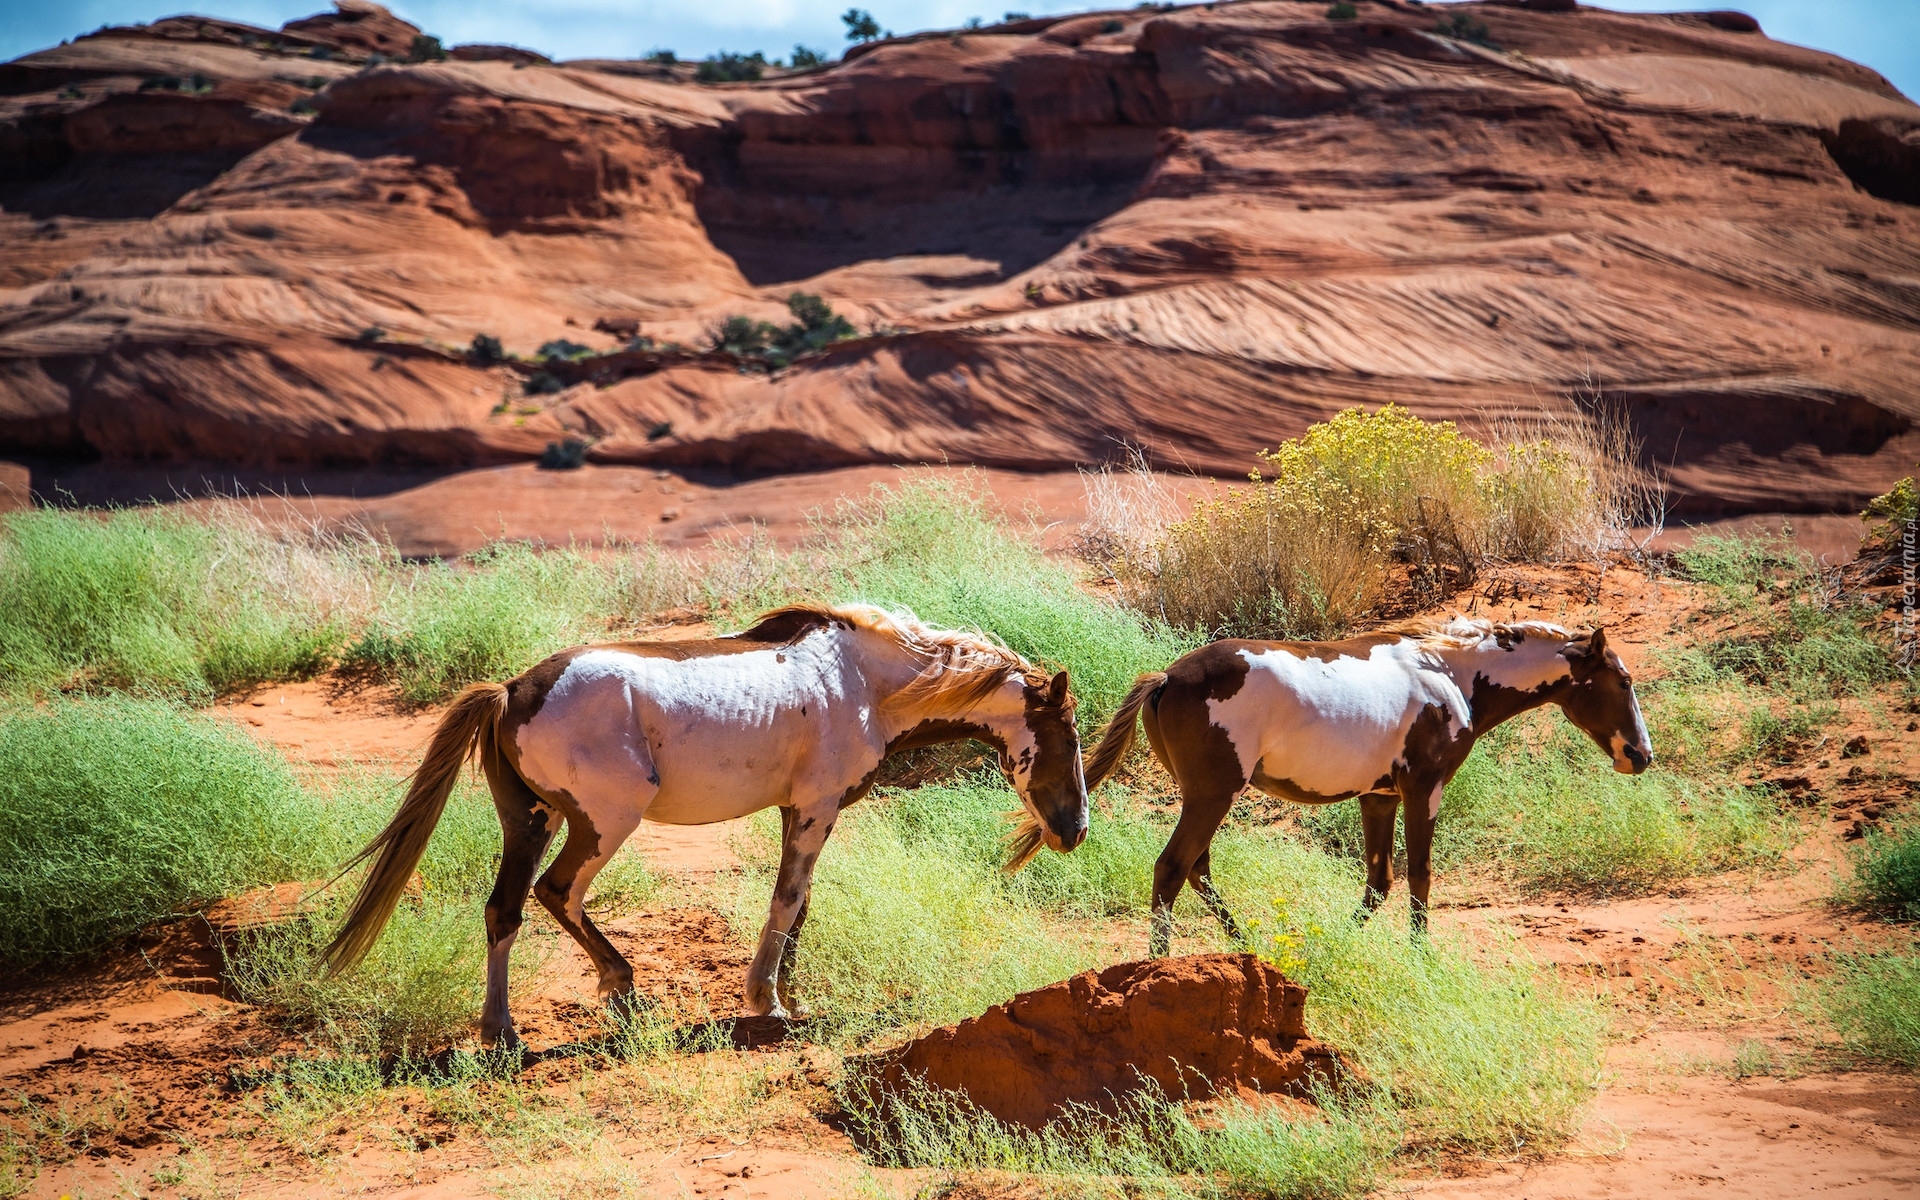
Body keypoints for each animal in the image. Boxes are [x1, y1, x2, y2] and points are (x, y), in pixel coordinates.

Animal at [322, 602, 1090, 1044]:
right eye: (1069, 736)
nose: (1075, 829)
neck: (864, 684)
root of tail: (512, 689)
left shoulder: (799, 811)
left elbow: (800, 906)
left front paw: (785, 996)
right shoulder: (815, 810)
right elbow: (785, 901)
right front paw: (767, 1004)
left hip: (531, 819)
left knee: (504, 908)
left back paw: (503, 1029)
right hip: (604, 823)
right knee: (557, 893)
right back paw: (617, 990)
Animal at [1082, 618, 1651, 956]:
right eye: (1623, 682)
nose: (1641, 755)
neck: (1450, 674)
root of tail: (1166, 678)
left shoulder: (1379, 799)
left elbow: (1380, 882)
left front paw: (1331, 945)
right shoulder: (1424, 790)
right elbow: (1420, 876)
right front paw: (1420, 957)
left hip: (1203, 799)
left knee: (1196, 870)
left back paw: (1250, 948)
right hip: (1213, 797)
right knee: (1172, 868)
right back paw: (1161, 962)